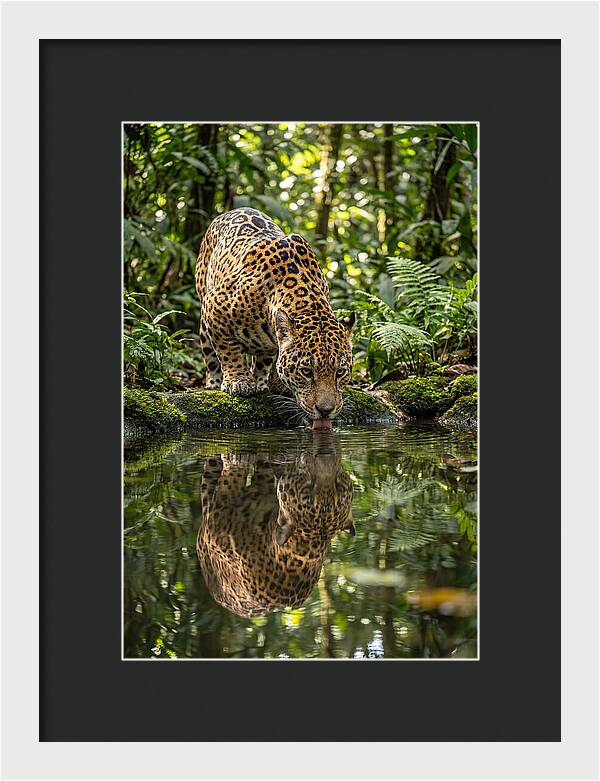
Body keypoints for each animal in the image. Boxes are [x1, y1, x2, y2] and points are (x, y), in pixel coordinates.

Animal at [195, 208, 355, 429]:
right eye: (306, 371)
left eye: (340, 372)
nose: (325, 411)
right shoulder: (214, 306)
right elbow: (228, 350)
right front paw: (239, 381)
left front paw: (277, 382)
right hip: (204, 311)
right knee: (210, 355)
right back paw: (214, 383)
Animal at [196, 438, 355, 618]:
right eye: (308, 487)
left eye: (339, 486)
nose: (326, 455)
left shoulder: (216, 525)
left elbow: (231, 481)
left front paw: (237, 458)